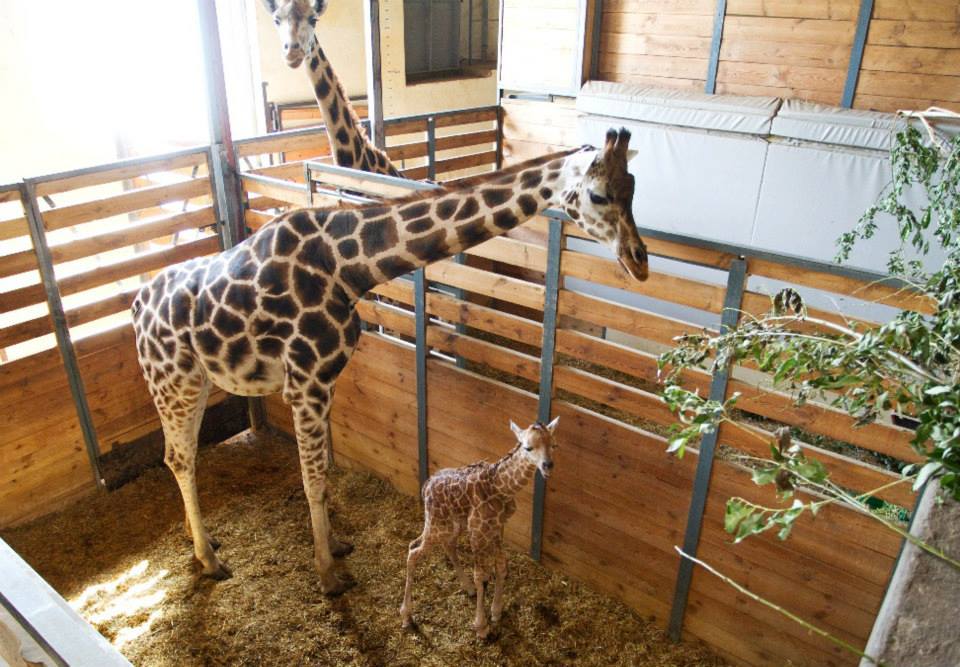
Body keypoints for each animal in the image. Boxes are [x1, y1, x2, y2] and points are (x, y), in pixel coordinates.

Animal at [133, 129, 644, 596]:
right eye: (599, 194)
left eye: (634, 186)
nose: (640, 261)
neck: (346, 267)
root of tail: (137, 305)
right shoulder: (305, 384)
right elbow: (313, 478)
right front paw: (328, 575)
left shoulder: (324, 382)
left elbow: (322, 472)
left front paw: (336, 546)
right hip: (173, 381)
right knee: (179, 457)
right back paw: (208, 559)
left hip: (196, 382)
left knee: (179, 454)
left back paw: (200, 540)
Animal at [402, 420, 560, 640]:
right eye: (528, 447)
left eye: (553, 445)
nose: (548, 466)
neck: (500, 487)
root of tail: (425, 487)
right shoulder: (477, 530)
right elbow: (481, 575)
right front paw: (481, 626)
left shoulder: (497, 527)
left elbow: (501, 566)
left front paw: (496, 612)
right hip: (437, 524)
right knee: (413, 551)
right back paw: (406, 616)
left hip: (453, 524)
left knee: (445, 545)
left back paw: (467, 588)